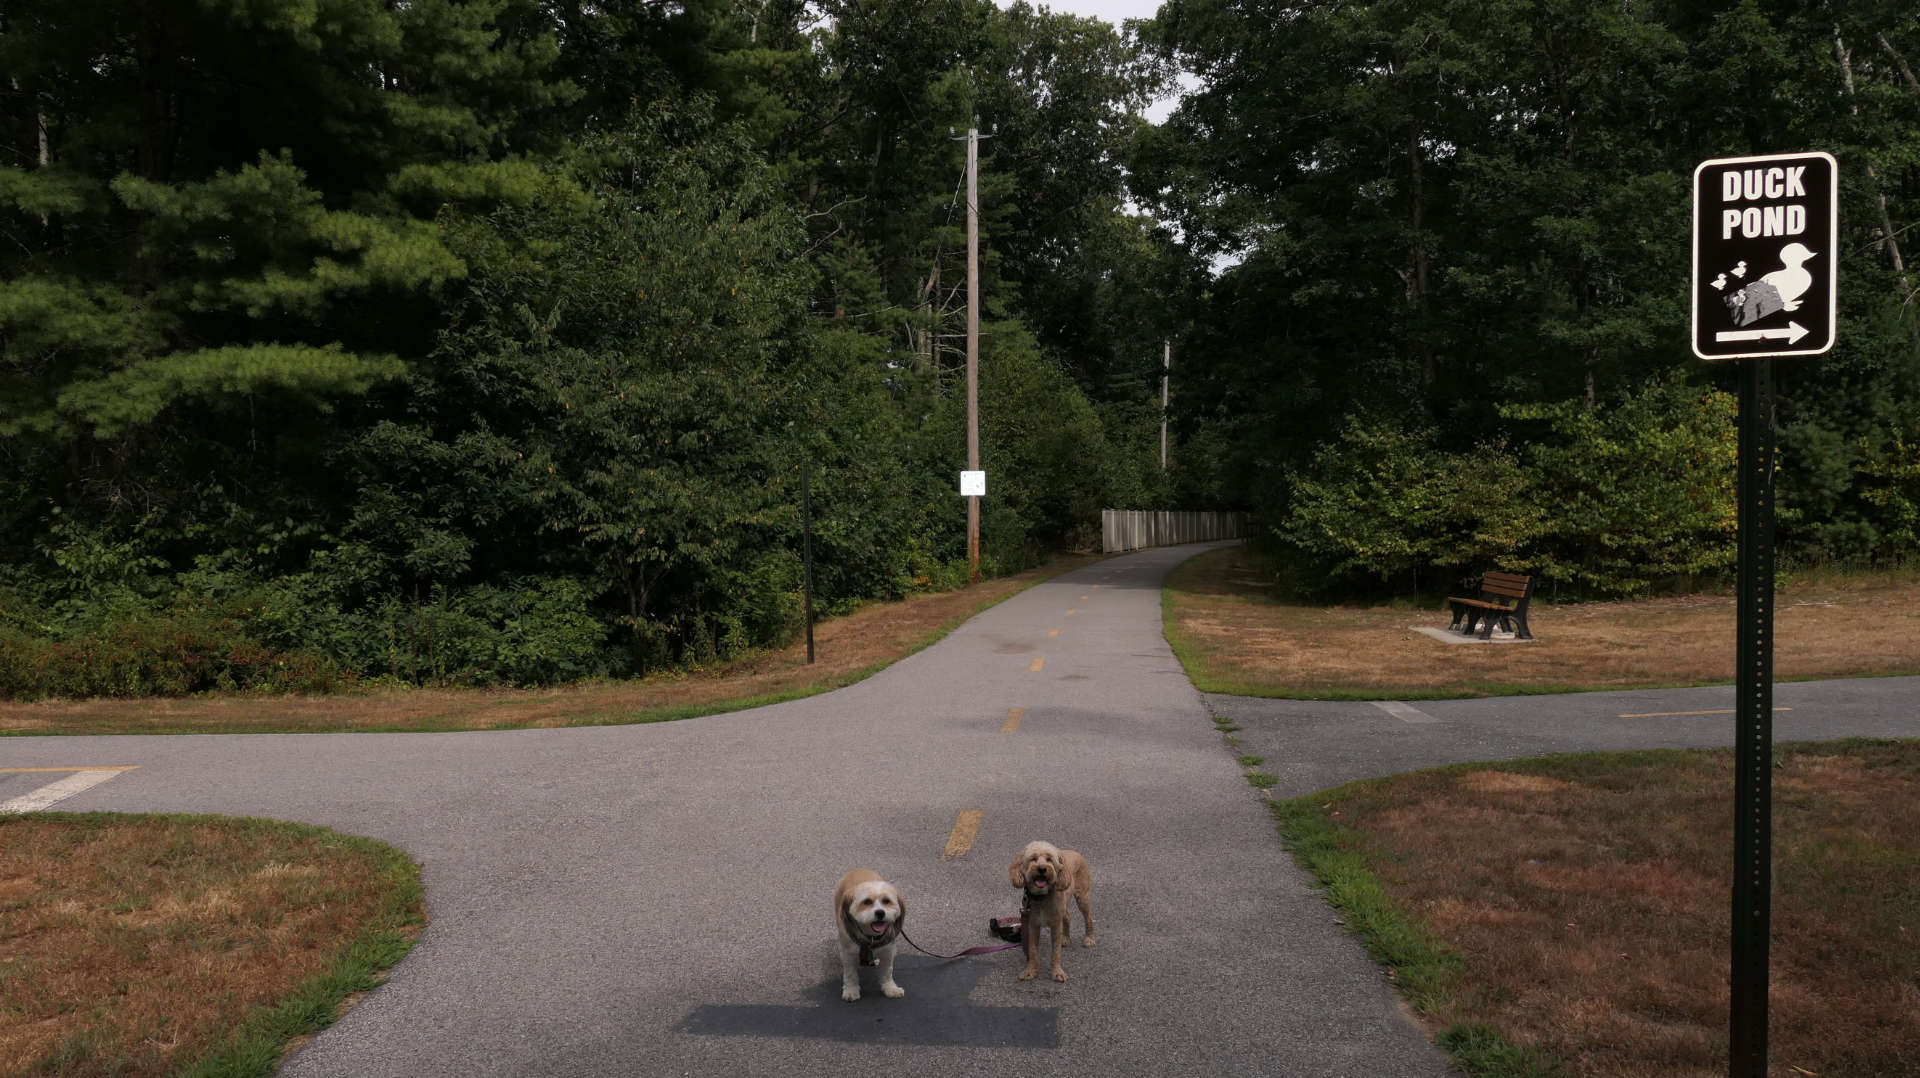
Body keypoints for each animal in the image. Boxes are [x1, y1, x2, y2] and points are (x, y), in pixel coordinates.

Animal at [833, 864, 906, 999]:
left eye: (886, 901)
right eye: (867, 902)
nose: (880, 913)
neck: (871, 938)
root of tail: (858, 869)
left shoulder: (888, 951)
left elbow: (887, 972)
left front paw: (890, 988)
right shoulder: (848, 952)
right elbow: (850, 974)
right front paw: (851, 990)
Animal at [1006, 837, 1098, 980]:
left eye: (1049, 859)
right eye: (1033, 858)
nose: (1042, 869)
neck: (1042, 897)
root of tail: (1075, 852)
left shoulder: (1055, 925)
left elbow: (1055, 952)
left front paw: (1057, 972)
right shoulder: (1033, 925)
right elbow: (1033, 950)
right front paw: (1030, 970)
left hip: (1083, 897)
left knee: (1088, 918)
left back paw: (1089, 939)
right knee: (1068, 917)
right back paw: (1065, 938)